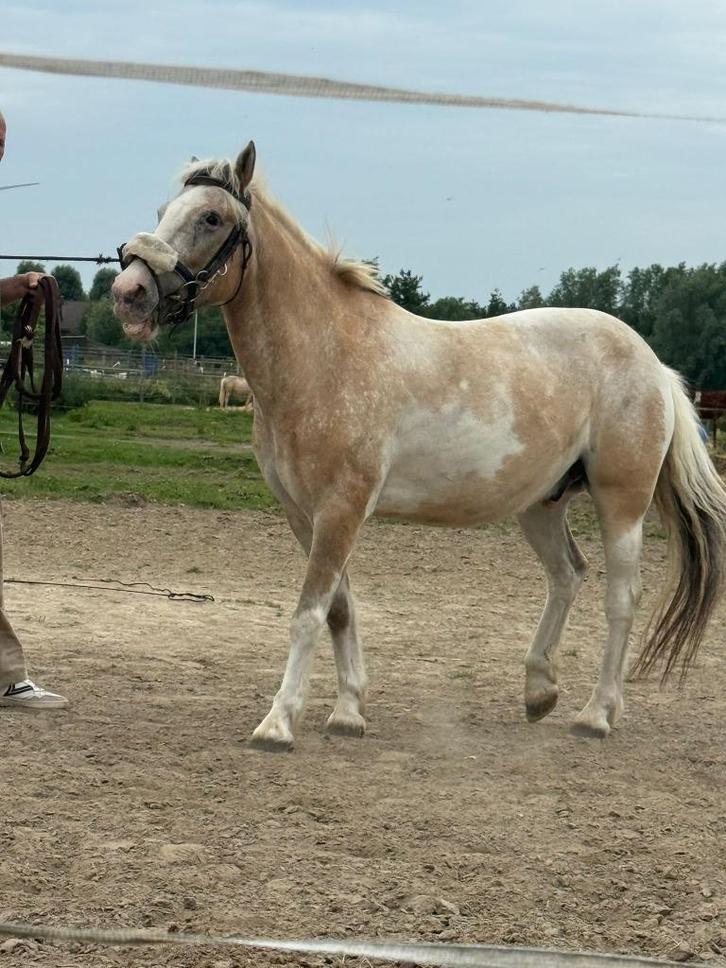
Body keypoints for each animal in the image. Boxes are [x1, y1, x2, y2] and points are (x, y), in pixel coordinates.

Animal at [112, 142, 726, 751]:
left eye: (211, 218)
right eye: (163, 210)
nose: (128, 294)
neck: (325, 357)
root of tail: (653, 364)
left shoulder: (341, 510)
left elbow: (309, 612)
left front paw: (279, 722)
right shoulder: (303, 514)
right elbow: (340, 609)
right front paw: (348, 712)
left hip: (621, 503)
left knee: (622, 597)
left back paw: (596, 714)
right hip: (541, 504)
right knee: (567, 576)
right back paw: (539, 691)